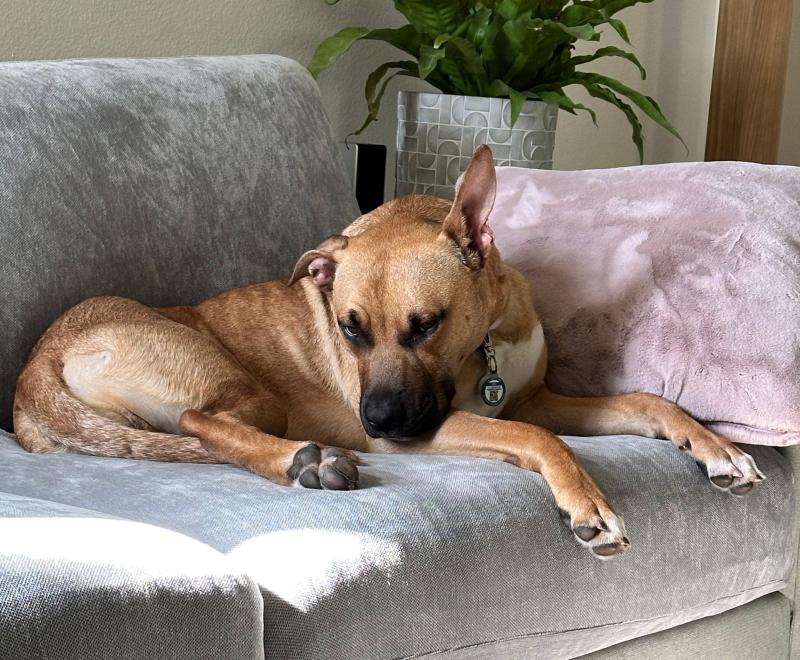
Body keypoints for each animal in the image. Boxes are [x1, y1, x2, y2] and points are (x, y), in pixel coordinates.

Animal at [12, 146, 764, 556]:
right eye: (349, 329)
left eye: (426, 325)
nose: (373, 425)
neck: (487, 338)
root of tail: (36, 365)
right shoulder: (454, 425)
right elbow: (535, 438)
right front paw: (587, 503)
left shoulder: (538, 397)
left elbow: (645, 400)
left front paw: (716, 447)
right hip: (239, 383)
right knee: (206, 421)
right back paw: (307, 461)